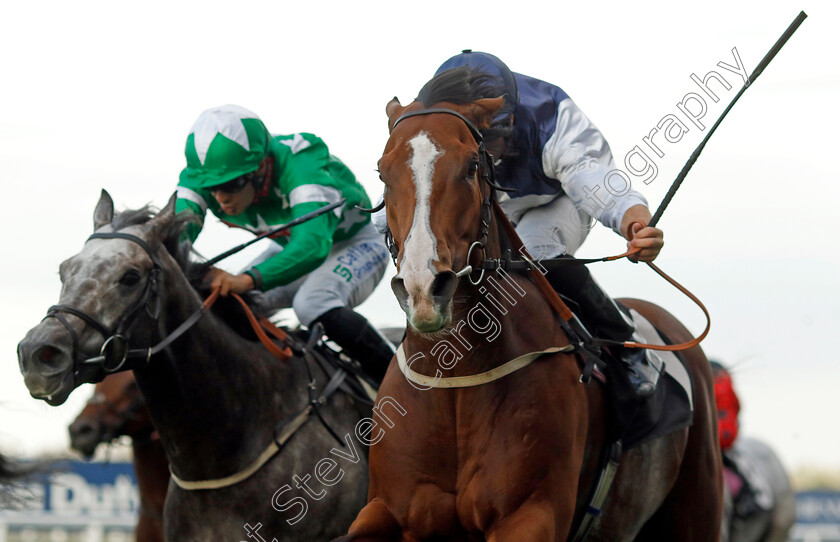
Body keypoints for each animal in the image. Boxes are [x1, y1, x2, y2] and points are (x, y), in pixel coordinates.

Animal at [340, 70, 720, 540]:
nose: (424, 289)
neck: (457, 379)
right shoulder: (386, 508)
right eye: (382, 171)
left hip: (698, 503)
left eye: (471, 166)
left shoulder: (531, 513)